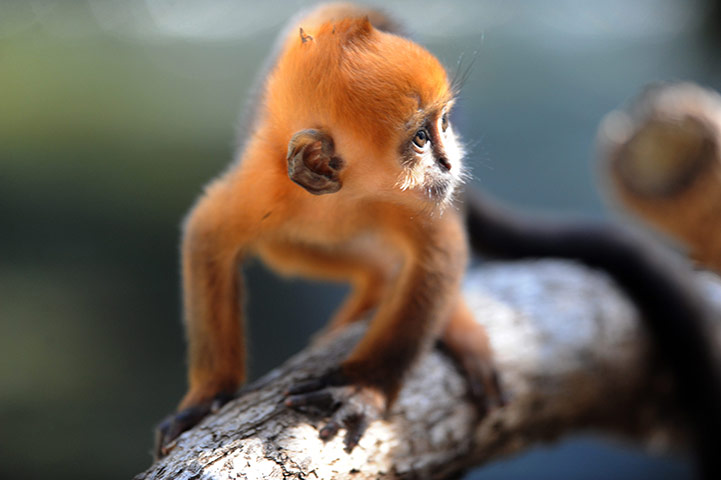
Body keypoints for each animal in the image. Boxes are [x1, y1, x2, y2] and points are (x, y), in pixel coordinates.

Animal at [155, 2, 503, 457]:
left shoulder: (409, 202)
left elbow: (440, 254)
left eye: (443, 124)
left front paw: (364, 386)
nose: (449, 162)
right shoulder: (265, 186)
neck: (343, 196)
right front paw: (208, 395)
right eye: (420, 139)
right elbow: (207, 234)